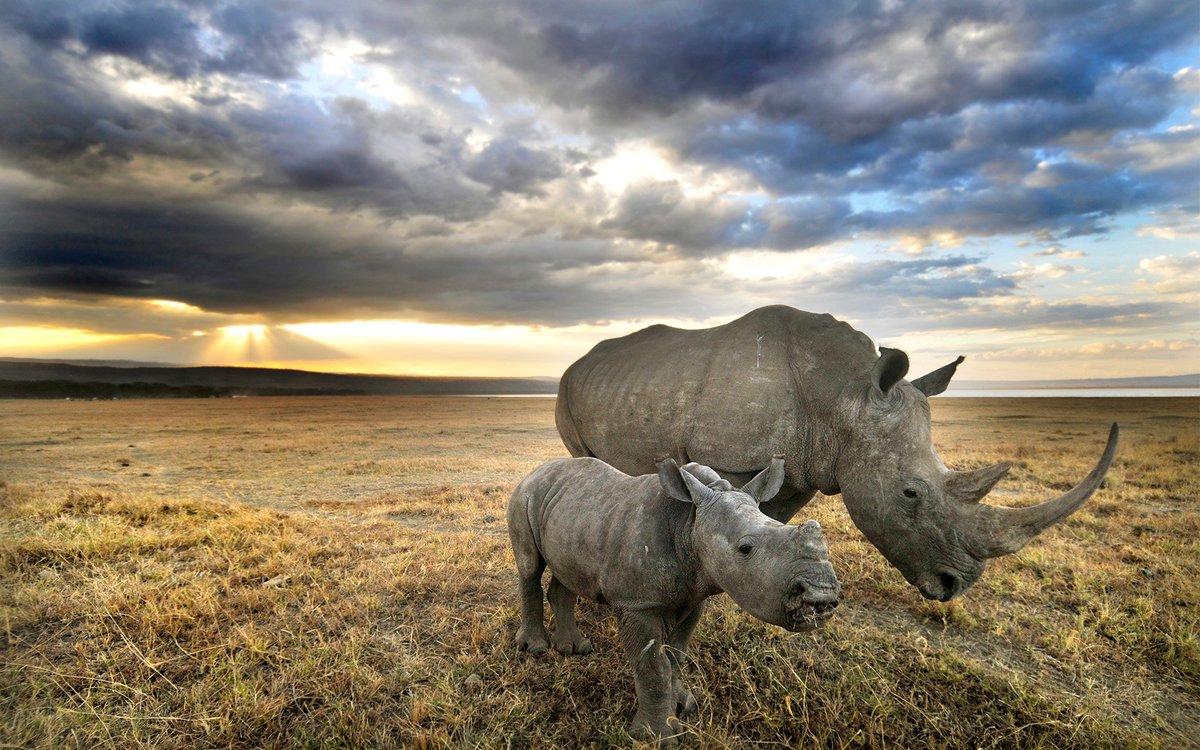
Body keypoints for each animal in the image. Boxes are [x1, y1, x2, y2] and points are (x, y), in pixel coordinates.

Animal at [508, 456, 840, 744]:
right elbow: (654, 666)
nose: (822, 594)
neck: (690, 523)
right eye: (745, 548)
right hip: (525, 496)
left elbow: (676, 655)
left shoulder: (694, 597)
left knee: (566, 574)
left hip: (572, 512)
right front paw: (655, 736)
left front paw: (684, 707)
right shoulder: (638, 604)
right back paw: (535, 648)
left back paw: (574, 649)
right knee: (529, 566)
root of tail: (536, 471)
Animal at [556, 305, 1119, 602]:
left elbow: (769, 520)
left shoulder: (804, 465)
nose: (954, 585)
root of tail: (579, 361)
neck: (845, 396)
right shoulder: (732, 455)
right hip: (567, 390)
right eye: (910, 494)